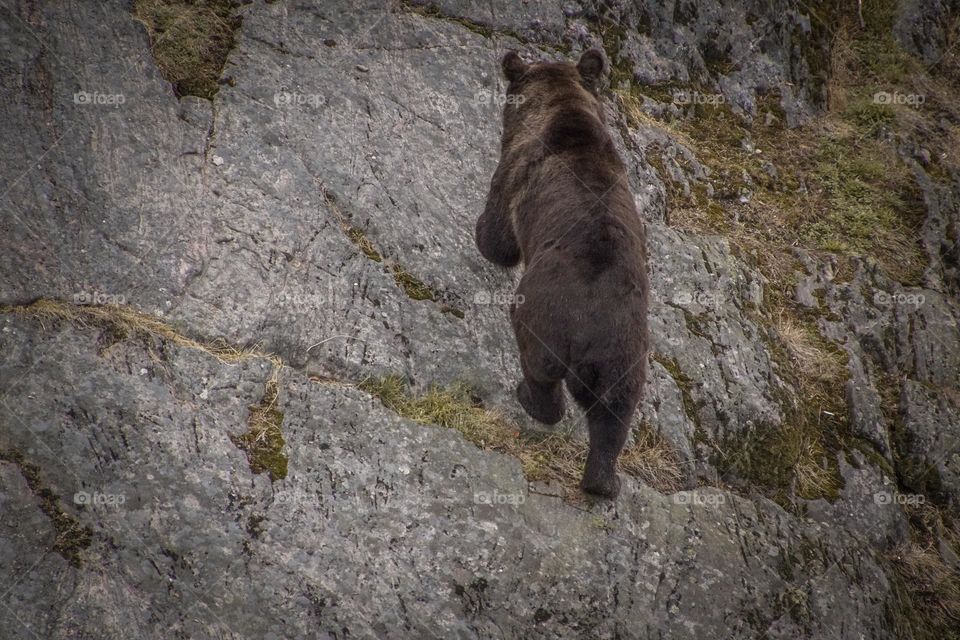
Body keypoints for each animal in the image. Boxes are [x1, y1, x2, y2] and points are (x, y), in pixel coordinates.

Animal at [475, 49, 650, 498]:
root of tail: (592, 325)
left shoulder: (515, 172)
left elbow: (498, 236)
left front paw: (482, 236)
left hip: (544, 317)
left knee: (539, 369)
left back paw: (528, 398)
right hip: (626, 355)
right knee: (614, 415)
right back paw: (605, 482)